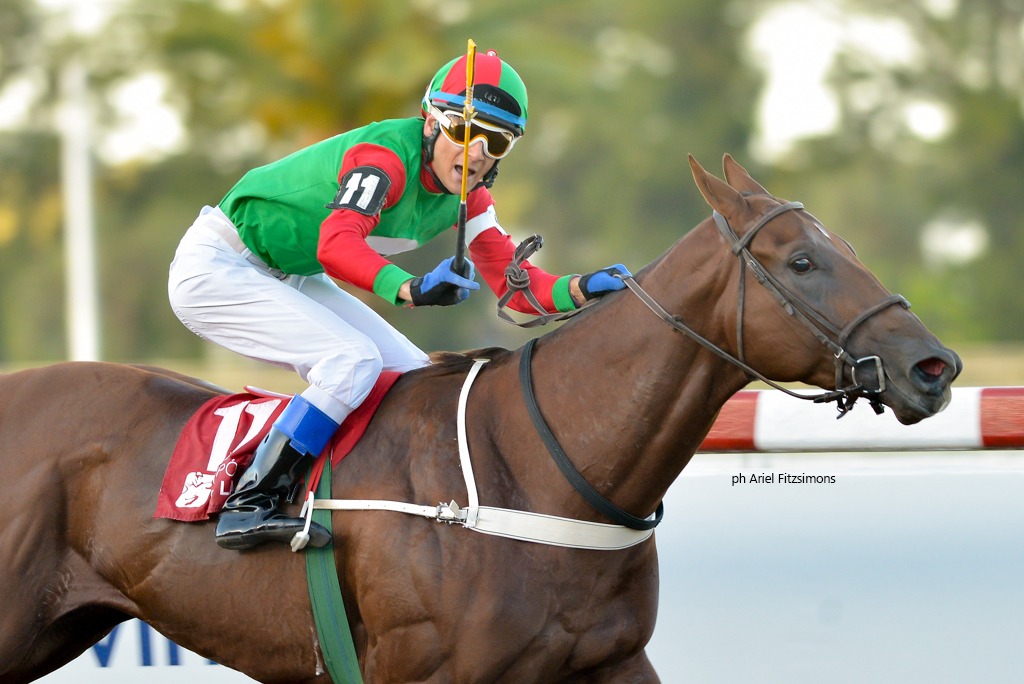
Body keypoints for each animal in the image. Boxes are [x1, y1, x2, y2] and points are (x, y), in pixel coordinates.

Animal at [0, 155, 960, 683]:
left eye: (846, 248)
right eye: (801, 262)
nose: (935, 367)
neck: (536, 465)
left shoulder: (609, 660)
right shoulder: (425, 669)